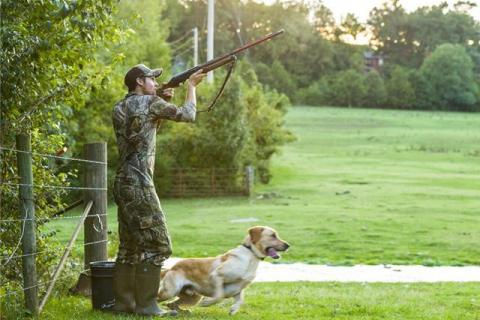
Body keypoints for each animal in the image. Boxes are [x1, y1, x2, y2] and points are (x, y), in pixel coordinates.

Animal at [158, 225, 288, 316]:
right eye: (272, 235)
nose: (288, 245)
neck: (250, 254)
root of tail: (172, 267)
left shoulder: (238, 289)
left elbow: (240, 300)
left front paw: (233, 310)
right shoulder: (217, 275)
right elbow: (219, 295)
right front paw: (207, 303)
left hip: (192, 297)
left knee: (171, 304)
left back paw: (183, 312)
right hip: (170, 291)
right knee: (159, 298)